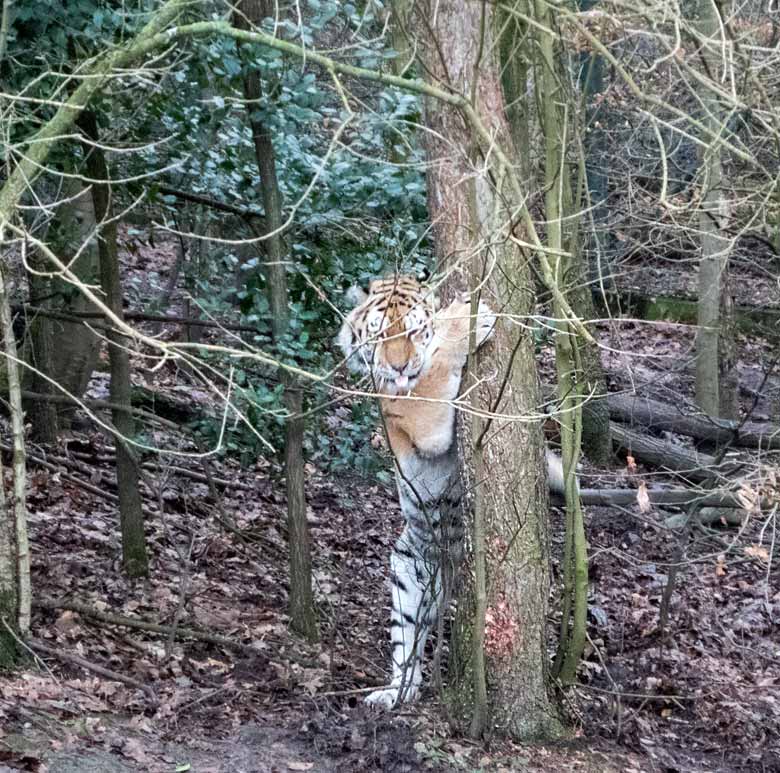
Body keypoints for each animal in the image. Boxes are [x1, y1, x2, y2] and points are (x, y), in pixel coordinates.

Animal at [338, 274, 564, 708]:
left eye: (412, 331)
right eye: (380, 334)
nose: (398, 365)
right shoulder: (426, 418)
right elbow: (435, 370)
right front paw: (466, 318)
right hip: (408, 569)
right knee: (407, 647)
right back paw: (391, 694)